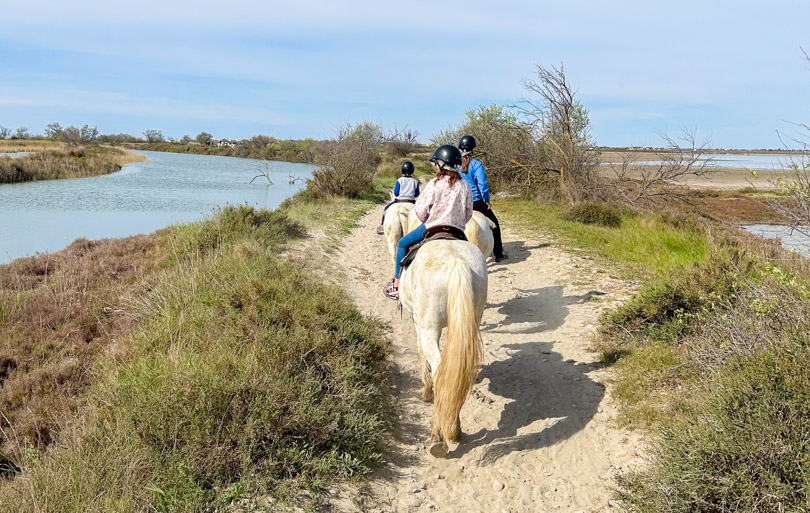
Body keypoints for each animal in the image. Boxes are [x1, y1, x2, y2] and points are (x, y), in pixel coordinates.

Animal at [398, 240, 486, 456]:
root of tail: (456, 261)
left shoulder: (418, 324)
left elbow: (421, 352)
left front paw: (426, 392)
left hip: (429, 328)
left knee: (440, 372)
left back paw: (439, 435)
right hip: (472, 321)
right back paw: (454, 429)